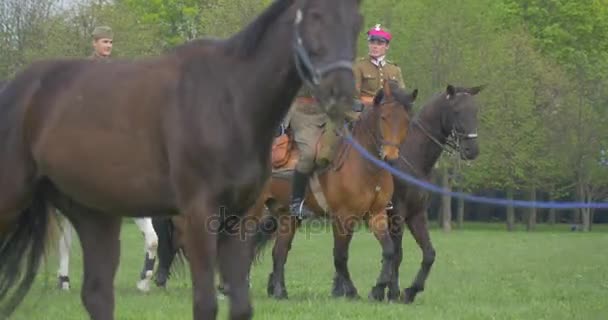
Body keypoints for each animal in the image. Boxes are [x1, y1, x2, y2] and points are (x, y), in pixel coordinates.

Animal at [0, 0, 364, 320]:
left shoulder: (240, 219)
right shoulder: (200, 216)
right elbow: (204, 302)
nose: (342, 95)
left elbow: (240, 304)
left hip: (95, 215)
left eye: (357, 22)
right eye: (315, 16)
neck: (230, 100)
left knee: (97, 294)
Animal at [254, 80, 416, 300]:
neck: (365, 164)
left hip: (286, 216)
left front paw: (377, 289)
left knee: (280, 251)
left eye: (406, 120)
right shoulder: (343, 217)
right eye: (384, 117)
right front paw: (350, 291)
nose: (391, 157)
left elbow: (389, 250)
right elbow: (340, 256)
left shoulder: (376, 214)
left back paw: (280, 292)